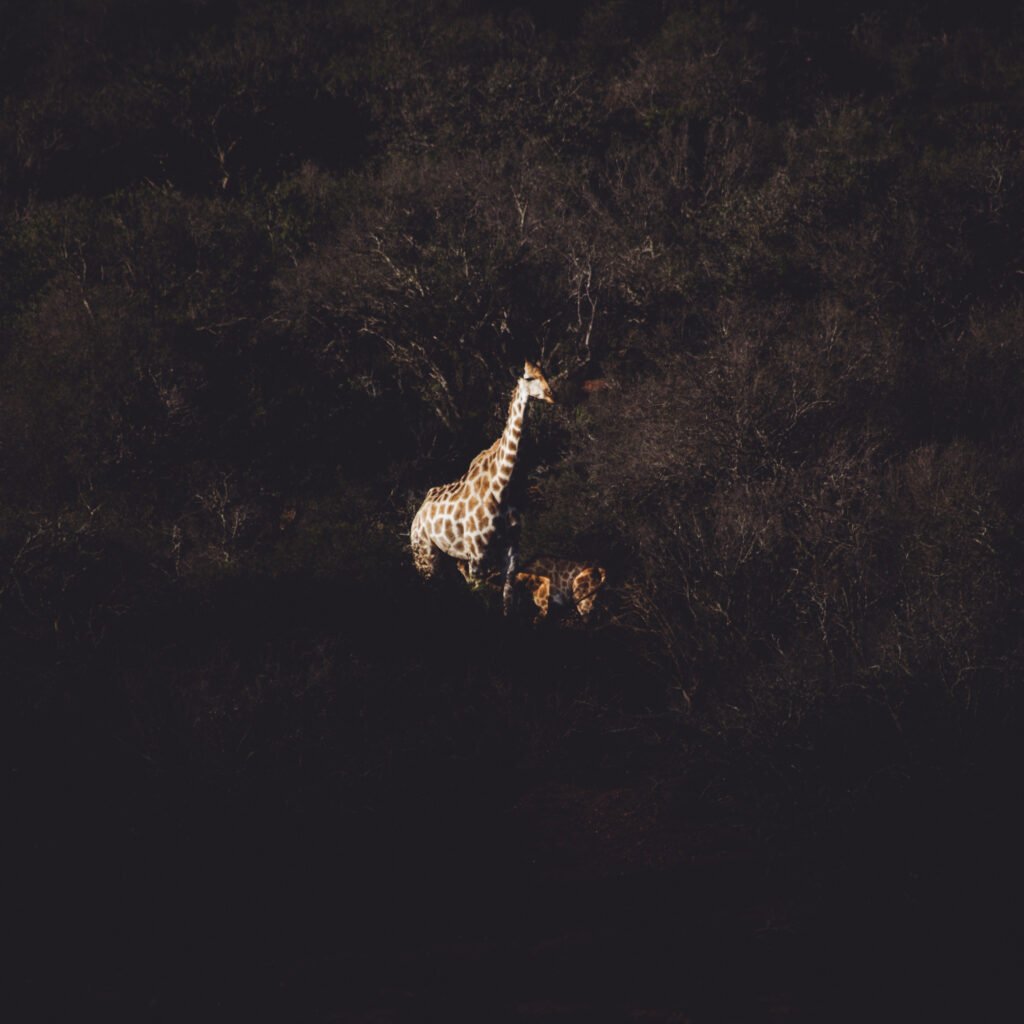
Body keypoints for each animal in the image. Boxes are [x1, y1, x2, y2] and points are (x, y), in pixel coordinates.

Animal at [410, 362, 555, 611]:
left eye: (544, 373)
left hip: (450, 556)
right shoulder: (477, 555)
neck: (502, 486)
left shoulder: (511, 548)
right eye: (529, 378)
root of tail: (417, 516)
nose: (550, 395)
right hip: (425, 555)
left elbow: (507, 596)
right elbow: (480, 598)